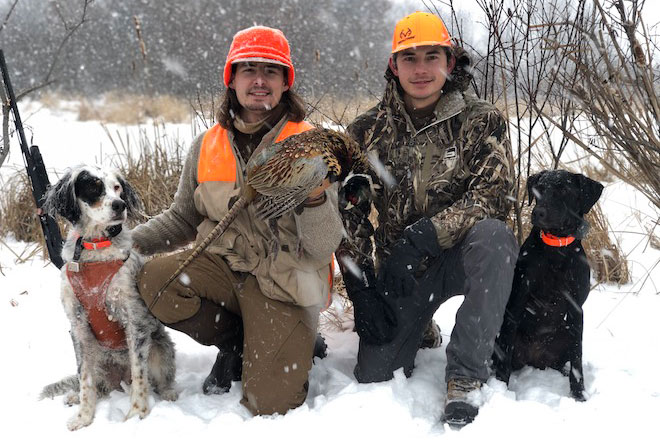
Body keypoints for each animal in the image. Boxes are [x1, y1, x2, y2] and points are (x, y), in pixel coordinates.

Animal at [40, 165, 177, 430]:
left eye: (118, 188)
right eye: (94, 186)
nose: (119, 205)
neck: (96, 249)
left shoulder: (134, 320)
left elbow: (139, 375)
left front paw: (136, 415)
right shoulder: (78, 325)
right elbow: (85, 379)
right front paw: (84, 417)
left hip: (160, 348)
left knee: (158, 380)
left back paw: (168, 393)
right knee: (97, 387)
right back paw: (75, 397)